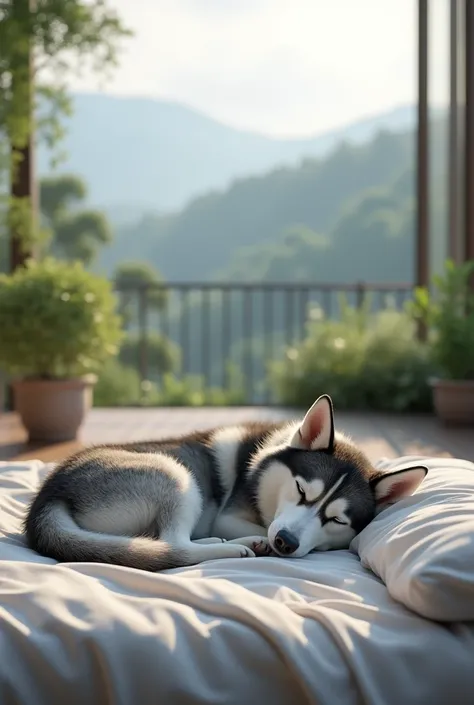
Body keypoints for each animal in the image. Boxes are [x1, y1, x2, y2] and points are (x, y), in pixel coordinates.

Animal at [24, 396, 428, 572]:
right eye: (301, 490)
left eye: (337, 520)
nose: (285, 542)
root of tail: (49, 494)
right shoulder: (228, 514)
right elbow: (253, 524)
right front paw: (260, 539)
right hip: (176, 476)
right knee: (173, 546)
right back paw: (238, 547)